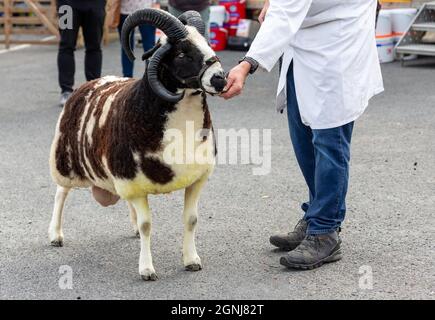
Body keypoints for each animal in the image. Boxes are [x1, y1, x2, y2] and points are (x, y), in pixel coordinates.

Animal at [48, 8, 228, 280]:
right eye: (182, 53)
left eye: (207, 43)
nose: (220, 79)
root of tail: (92, 81)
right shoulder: (132, 180)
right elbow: (147, 226)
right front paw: (146, 269)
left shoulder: (194, 179)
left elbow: (191, 220)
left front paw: (191, 260)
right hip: (67, 161)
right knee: (61, 193)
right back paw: (55, 234)